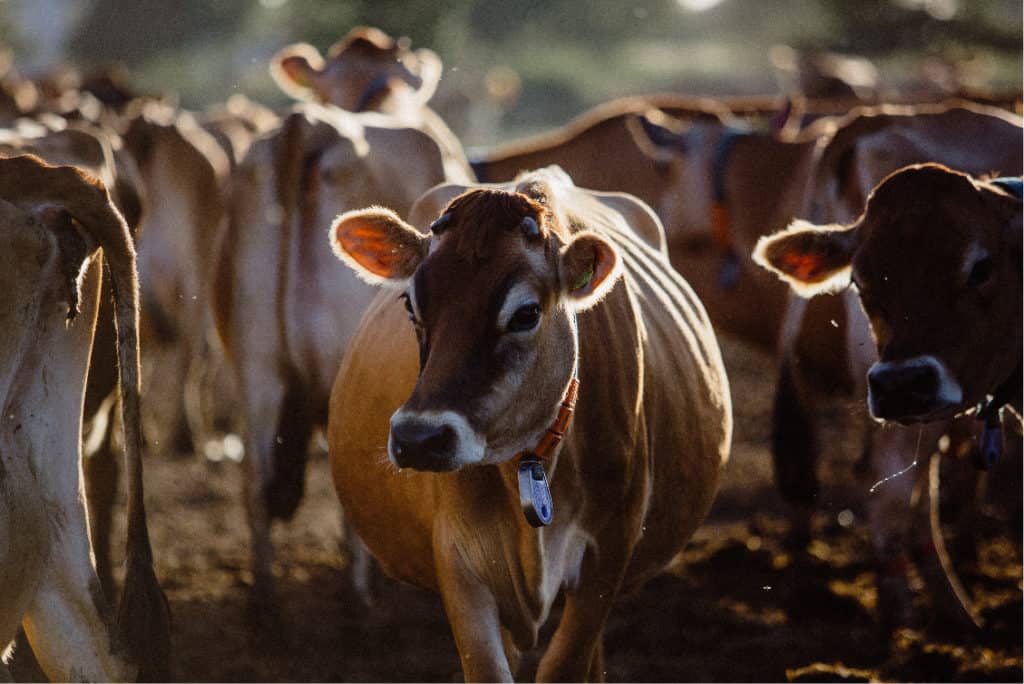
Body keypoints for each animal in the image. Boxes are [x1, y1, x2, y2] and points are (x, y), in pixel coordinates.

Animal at [326, 166, 731, 681]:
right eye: (410, 307)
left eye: (525, 313)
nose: (419, 437)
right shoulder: (459, 562)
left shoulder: (609, 552)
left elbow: (566, 665)